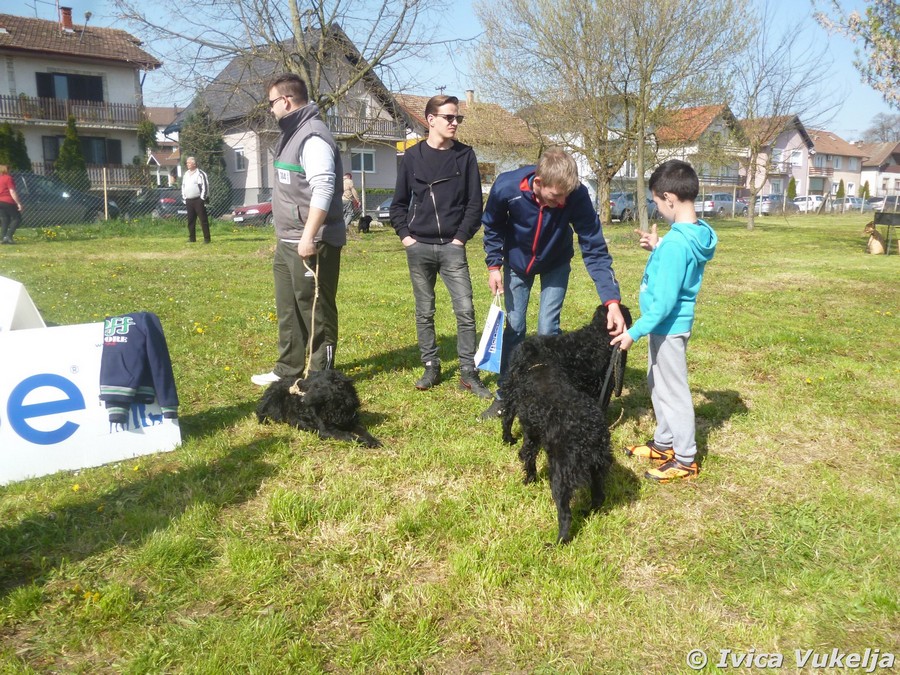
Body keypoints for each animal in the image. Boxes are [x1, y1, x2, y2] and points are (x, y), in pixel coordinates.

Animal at [499, 303, 631, 544]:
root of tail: (590, 437)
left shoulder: (532, 432)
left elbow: (528, 454)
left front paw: (528, 478)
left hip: (564, 474)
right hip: (591, 469)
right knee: (596, 497)